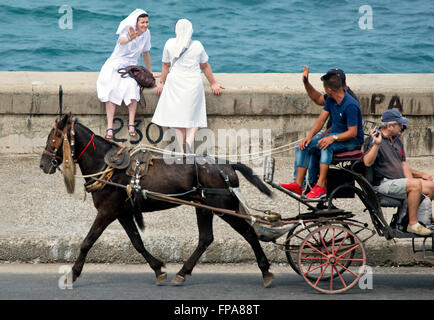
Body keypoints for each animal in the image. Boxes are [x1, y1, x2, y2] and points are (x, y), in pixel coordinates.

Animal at [39, 114, 272, 286]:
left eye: (53, 138)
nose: (43, 164)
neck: (107, 166)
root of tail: (227, 165)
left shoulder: (107, 211)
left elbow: (87, 242)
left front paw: (73, 273)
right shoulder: (122, 212)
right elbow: (137, 242)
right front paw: (158, 268)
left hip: (224, 208)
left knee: (249, 233)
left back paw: (265, 270)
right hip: (203, 207)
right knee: (206, 238)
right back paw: (183, 272)